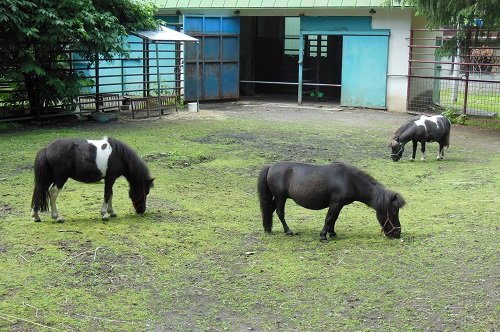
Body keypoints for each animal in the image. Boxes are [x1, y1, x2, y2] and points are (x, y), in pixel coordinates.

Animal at [258, 161, 406, 241]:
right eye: (394, 212)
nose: (397, 233)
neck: (349, 180)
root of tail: (271, 167)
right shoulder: (336, 203)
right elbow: (329, 218)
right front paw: (323, 236)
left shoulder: (339, 205)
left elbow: (334, 219)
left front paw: (332, 233)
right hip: (280, 197)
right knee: (280, 213)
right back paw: (288, 231)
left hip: (277, 198)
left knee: (270, 210)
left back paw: (267, 229)